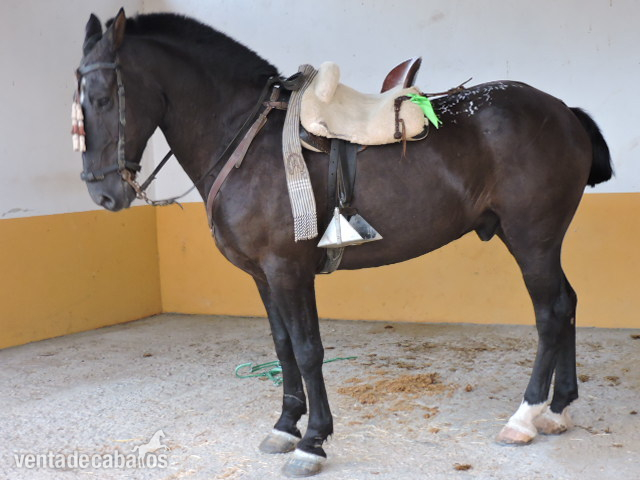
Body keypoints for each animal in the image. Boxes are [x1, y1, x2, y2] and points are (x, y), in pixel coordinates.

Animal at [75, 9, 612, 477]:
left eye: (101, 98)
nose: (103, 194)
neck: (248, 139)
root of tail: (562, 111)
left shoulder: (288, 269)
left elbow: (308, 349)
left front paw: (313, 442)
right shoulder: (263, 276)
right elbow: (283, 347)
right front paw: (285, 427)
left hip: (532, 238)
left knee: (550, 311)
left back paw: (524, 418)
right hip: (535, 239)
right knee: (567, 303)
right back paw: (558, 410)